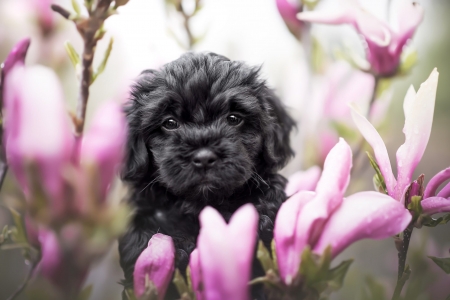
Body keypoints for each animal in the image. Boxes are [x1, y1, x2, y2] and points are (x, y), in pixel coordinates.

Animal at [118, 52, 296, 296]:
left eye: (233, 118)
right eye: (170, 123)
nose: (203, 157)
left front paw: (259, 215)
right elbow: (143, 237)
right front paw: (178, 247)